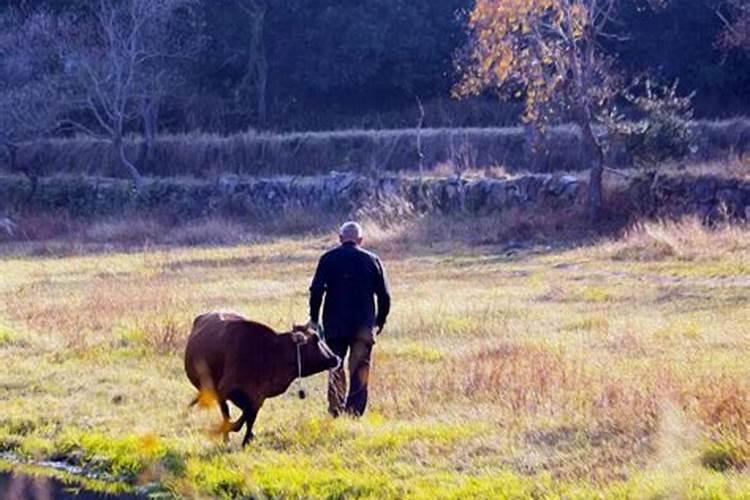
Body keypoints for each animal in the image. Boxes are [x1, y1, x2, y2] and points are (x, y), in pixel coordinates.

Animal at [187, 312, 342, 446]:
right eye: (316, 339)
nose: (336, 358)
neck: (268, 353)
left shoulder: (258, 396)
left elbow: (249, 416)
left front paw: (247, 440)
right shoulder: (223, 390)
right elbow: (231, 417)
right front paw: (231, 432)